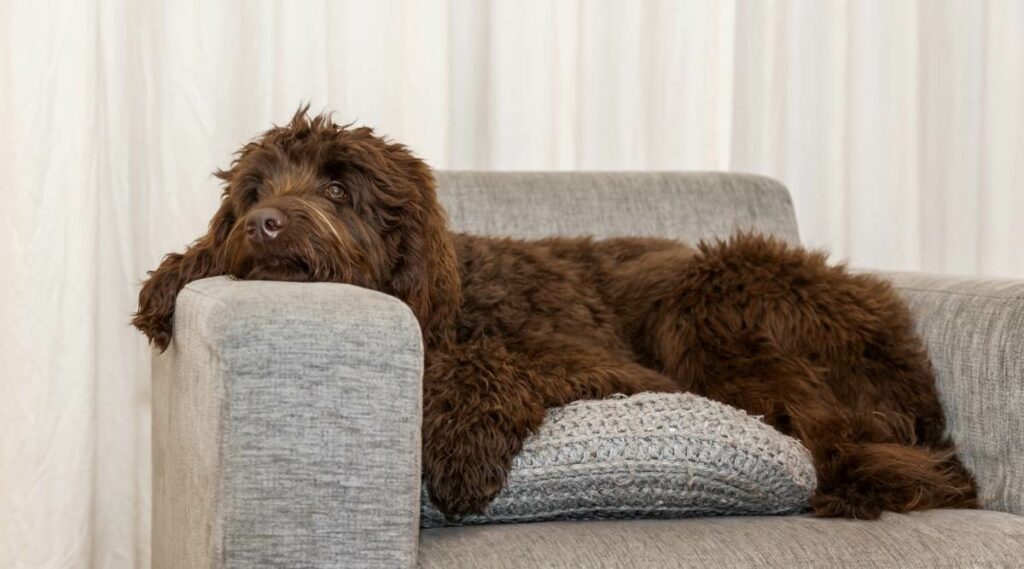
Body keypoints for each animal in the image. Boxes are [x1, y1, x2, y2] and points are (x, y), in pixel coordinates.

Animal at [134, 106, 974, 519]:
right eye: (253, 189)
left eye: (339, 188)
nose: (265, 224)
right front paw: (175, 273)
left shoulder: (606, 362)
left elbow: (493, 361)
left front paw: (462, 445)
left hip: (711, 295)